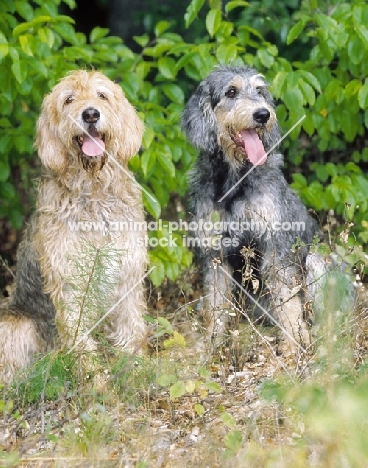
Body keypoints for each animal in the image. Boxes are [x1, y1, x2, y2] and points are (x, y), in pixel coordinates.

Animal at [0, 70, 147, 384]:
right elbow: (80, 339)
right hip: (16, 324)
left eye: (102, 95)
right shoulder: (69, 284)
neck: (93, 191)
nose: (90, 114)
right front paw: (97, 382)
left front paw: (137, 372)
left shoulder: (128, 274)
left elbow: (130, 328)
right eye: (68, 99)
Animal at [181, 66, 322, 352]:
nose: (263, 114)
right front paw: (212, 346)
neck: (235, 180)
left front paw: (293, 348)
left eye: (259, 90)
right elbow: (216, 305)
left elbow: (289, 302)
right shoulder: (215, 254)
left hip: (316, 262)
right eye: (231, 92)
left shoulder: (276, 246)